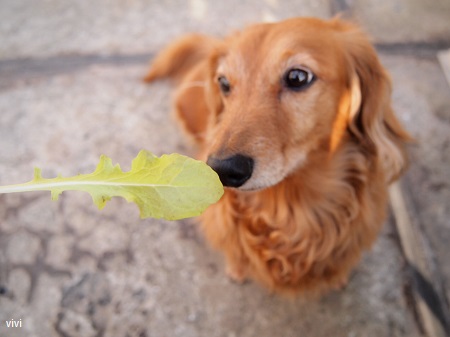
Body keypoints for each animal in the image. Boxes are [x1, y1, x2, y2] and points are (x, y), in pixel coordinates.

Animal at [145, 17, 412, 294]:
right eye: (224, 83)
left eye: (297, 77)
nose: (221, 170)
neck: (290, 206)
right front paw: (237, 270)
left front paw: (338, 277)